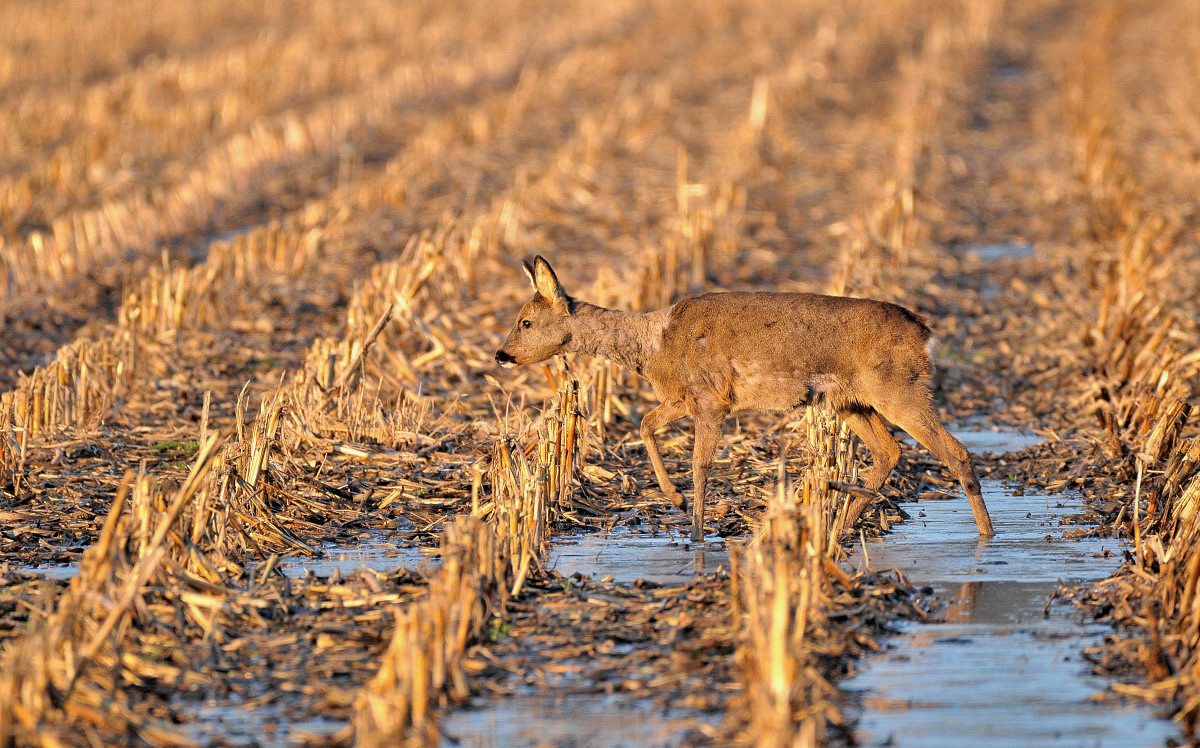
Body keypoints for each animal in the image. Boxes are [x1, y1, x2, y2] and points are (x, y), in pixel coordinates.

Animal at [492, 254, 998, 540]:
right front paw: (676, 502)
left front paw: (694, 526)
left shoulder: (711, 397)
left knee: (954, 451)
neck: (654, 345)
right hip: (851, 401)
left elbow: (700, 463)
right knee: (890, 451)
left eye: (525, 322)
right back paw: (838, 524)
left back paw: (988, 536)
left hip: (899, 388)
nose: (501, 354)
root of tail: (924, 333)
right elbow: (645, 425)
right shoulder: (685, 398)